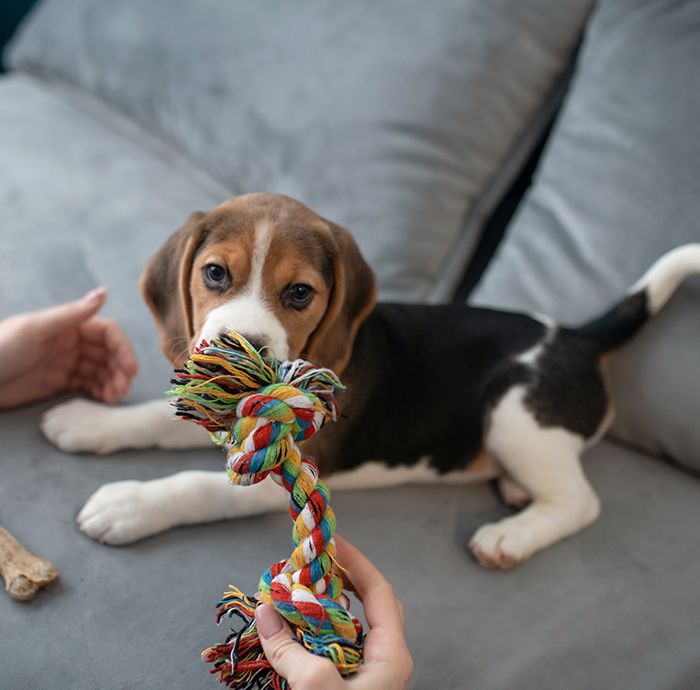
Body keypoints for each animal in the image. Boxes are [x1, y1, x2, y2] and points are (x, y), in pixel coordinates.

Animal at [41, 192, 700, 564]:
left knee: (582, 502)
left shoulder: (290, 471)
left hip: (517, 416)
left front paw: (130, 504)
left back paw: (511, 535)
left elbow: (196, 487)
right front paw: (88, 420)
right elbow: (152, 417)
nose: (237, 349)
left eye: (299, 293)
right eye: (214, 274)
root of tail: (579, 336)